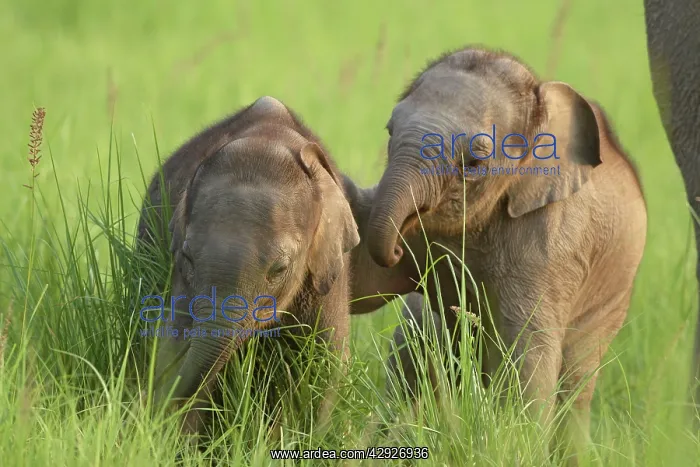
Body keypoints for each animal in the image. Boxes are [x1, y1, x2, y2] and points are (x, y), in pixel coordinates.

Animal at [137, 96, 360, 438]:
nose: (141, 401)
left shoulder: (328, 280)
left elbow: (323, 371)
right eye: (187, 257)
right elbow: (176, 352)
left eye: (279, 269)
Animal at [365, 46, 648, 457]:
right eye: (389, 131)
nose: (398, 251)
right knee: (414, 341)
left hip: (612, 297)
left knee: (576, 379)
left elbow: (530, 356)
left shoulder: (550, 244)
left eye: (474, 163)